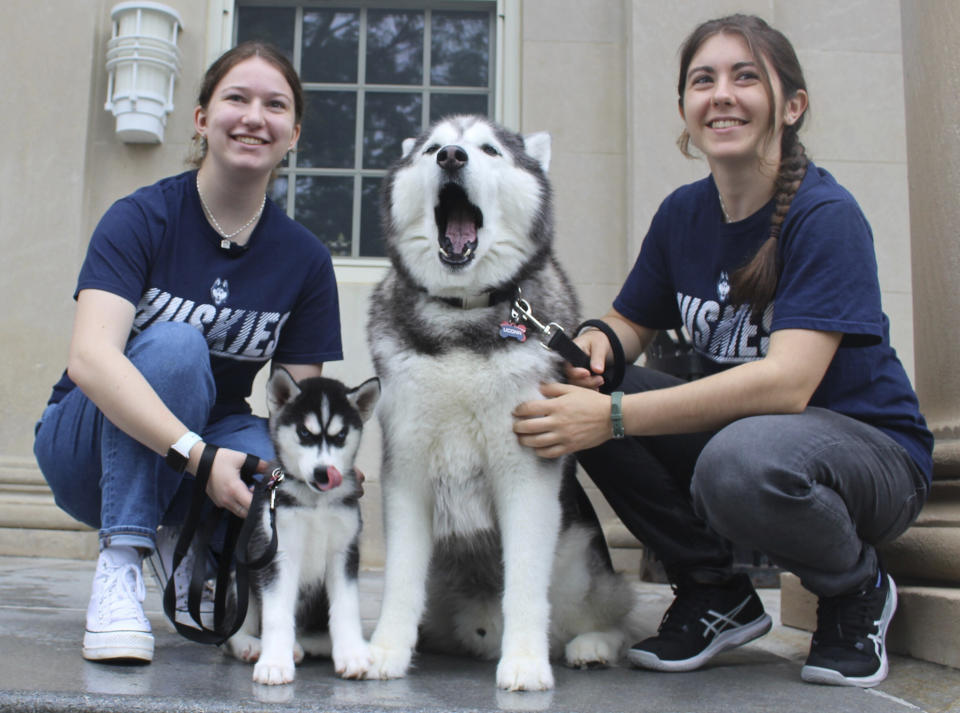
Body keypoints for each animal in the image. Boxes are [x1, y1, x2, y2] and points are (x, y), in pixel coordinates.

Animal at [225, 368, 378, 684]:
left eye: (341, 435)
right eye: (304, 433)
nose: (323, 473)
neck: (316, 502)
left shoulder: (344, 552)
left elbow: (346, 608)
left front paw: (352, 654)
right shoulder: (278, 553)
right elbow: (277, 614)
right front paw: (274, 662)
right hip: (240, 574)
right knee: (234, 631)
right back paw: (251, 645)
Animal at [360, 115, 636, 688]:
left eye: (489, 149)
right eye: (431, 149)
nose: (452, 157)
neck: (464, 315)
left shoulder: (526, 470)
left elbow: (526, 586)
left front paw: (526, 663)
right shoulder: (406, 470)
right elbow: (400, 579)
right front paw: (385, 651)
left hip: (579, 563)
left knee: (616, 617)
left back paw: (593, 646)